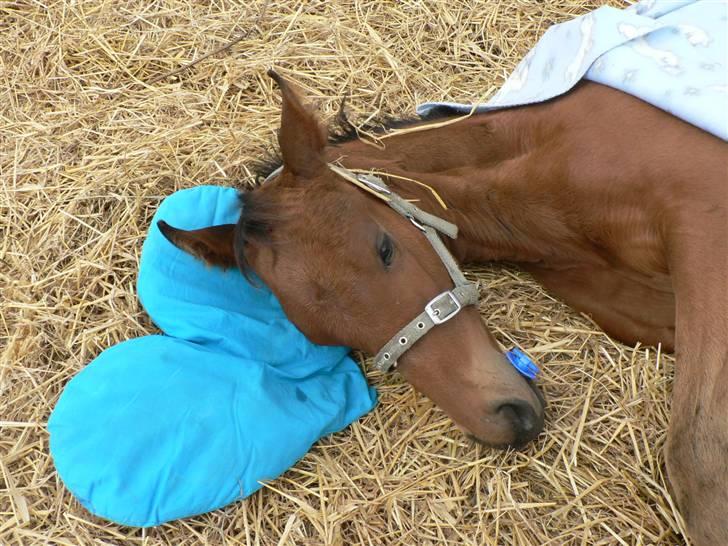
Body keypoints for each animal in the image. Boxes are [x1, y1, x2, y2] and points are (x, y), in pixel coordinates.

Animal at [161, 73, 728, 544]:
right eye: (330, 338)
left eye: (384, 248)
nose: (506, 420)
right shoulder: (644, 305)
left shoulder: (702, 222)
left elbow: (695, 457)